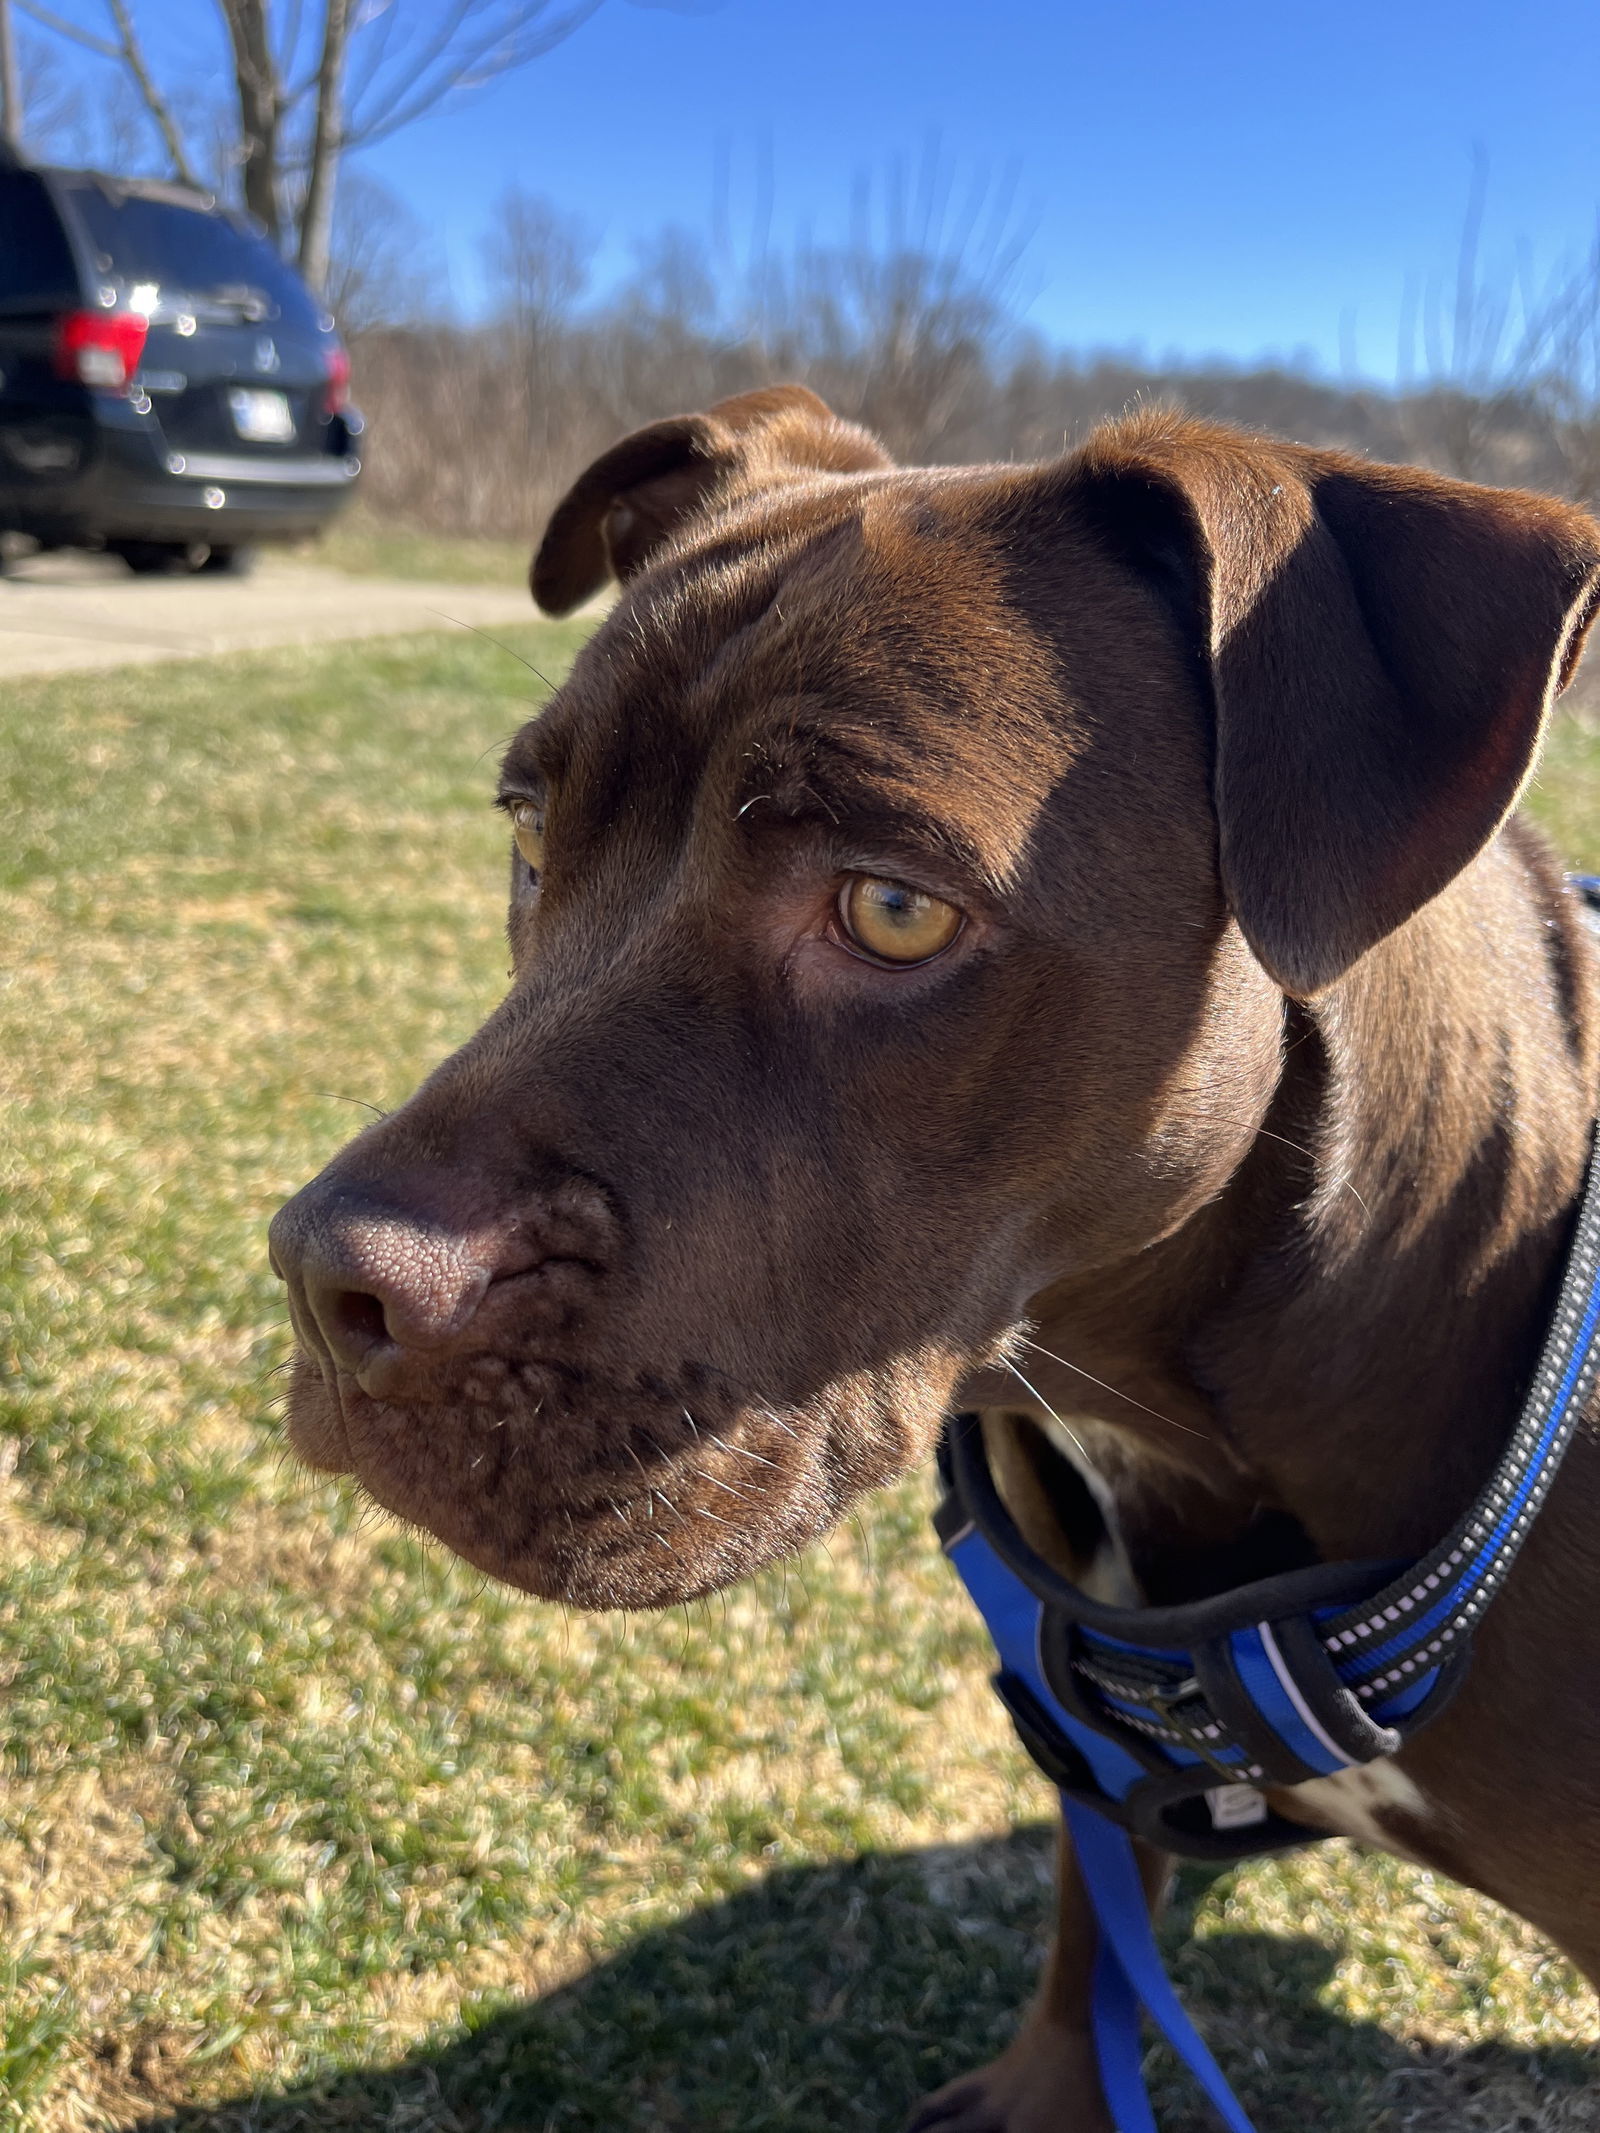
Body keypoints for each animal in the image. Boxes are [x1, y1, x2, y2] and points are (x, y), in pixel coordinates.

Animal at [269, 388, 1600, 2133]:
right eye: (530, 835)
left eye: (893, 908)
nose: (323, 1282)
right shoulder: (1087, 1743)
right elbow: (1092, 1932)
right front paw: (1049, 2093)